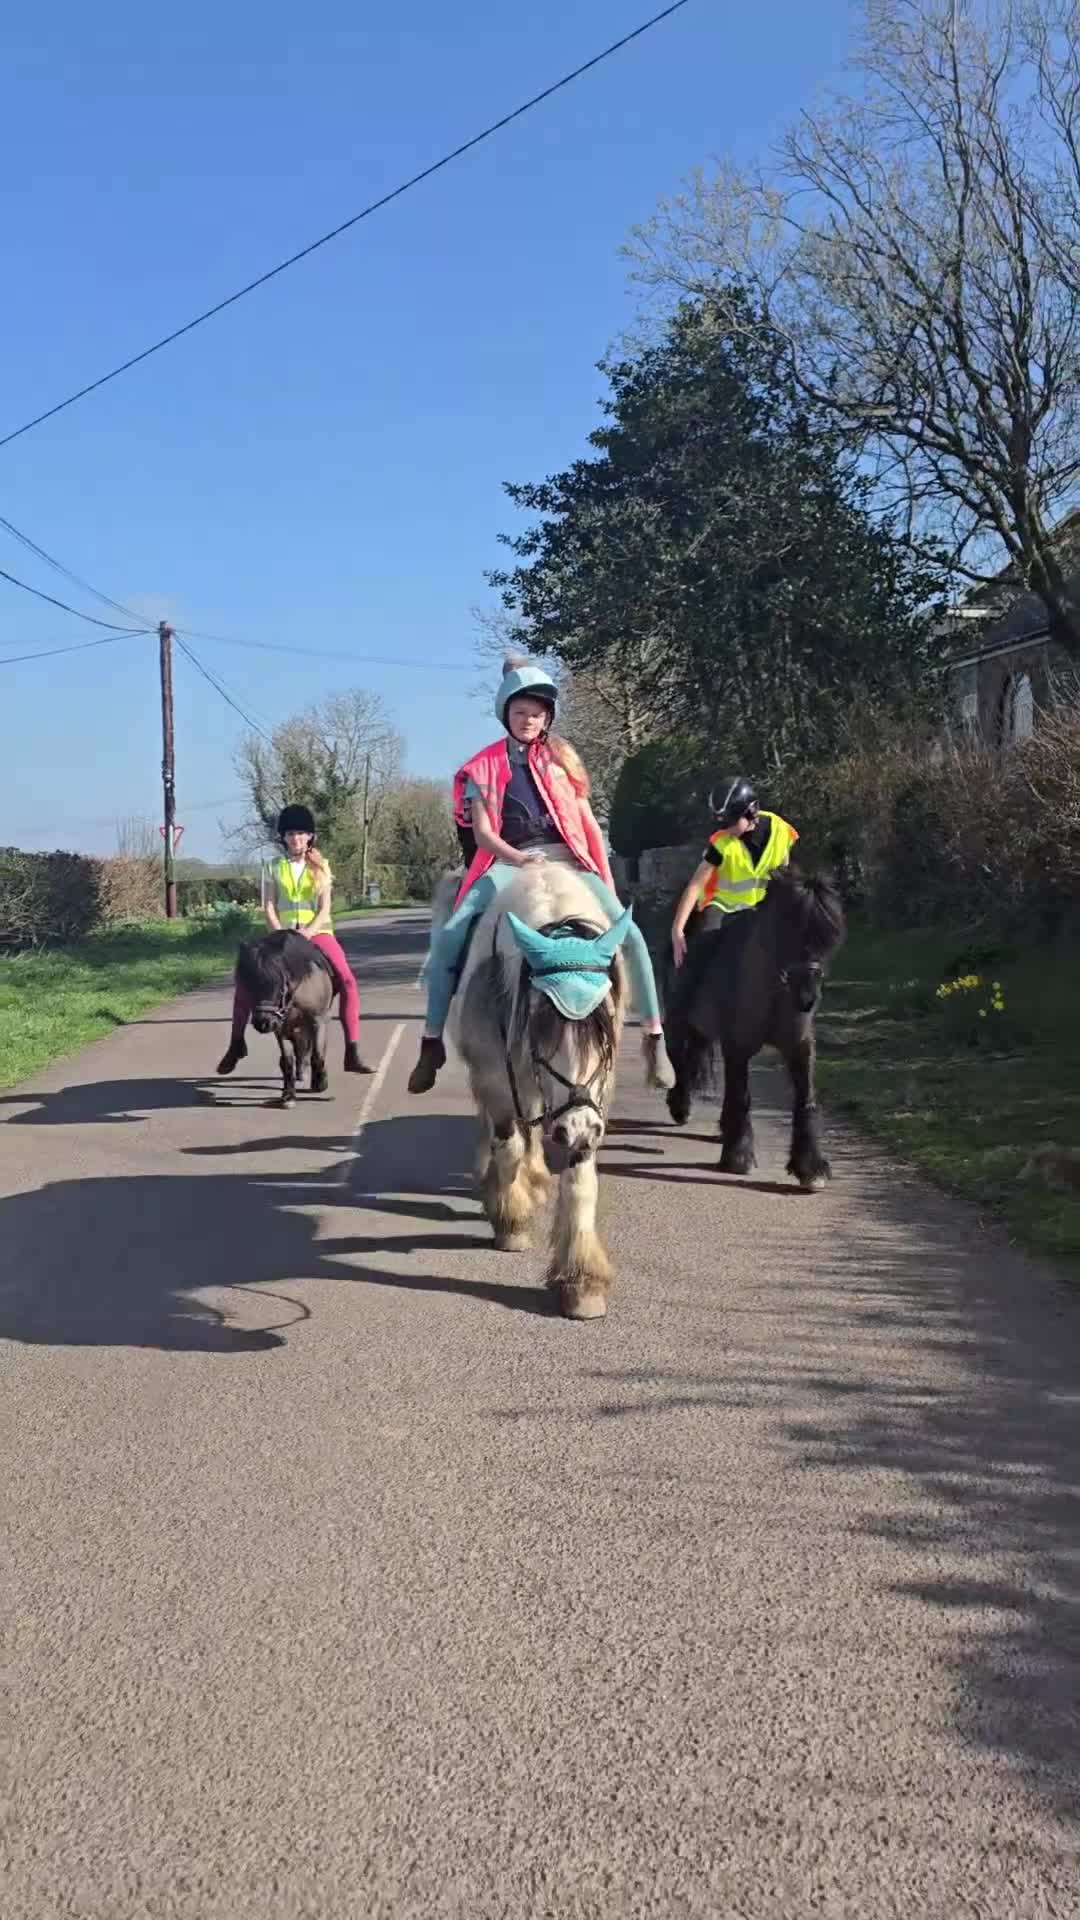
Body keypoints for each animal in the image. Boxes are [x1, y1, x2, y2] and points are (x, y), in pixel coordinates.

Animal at [234, 930, 335, 1108]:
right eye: (249, 983)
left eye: (278, 984)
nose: (263, 1023)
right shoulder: (280, 1028)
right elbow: (287, 1061)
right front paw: (288, 1095)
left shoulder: (318, 1021)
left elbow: (317, 1054)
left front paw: (320, 1083)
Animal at [448, 860, 632, 1320]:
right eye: (540, 1021)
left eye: (604, 1025)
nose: (576, 1125)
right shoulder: (496, 1077)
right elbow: (508, 1143)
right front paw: (511, 1222)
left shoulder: (590, 1103)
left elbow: (580, 1176)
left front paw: (581, 1282)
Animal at [662, 867, 846, 1188]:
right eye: (784, 927)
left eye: (828, 938)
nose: (807, 998)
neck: (775, 993)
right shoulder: (738, 1046)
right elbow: (741, 1095)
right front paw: (738, 1157)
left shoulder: (799, 1047)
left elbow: (805, 1098)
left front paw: (810, 1168)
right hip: (678, 1018)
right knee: (677, 1058)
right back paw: (680, 1107)